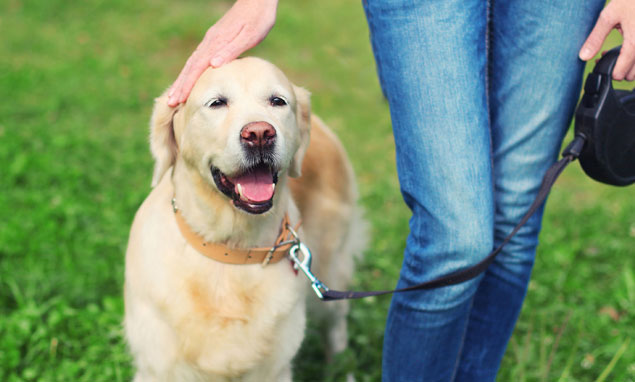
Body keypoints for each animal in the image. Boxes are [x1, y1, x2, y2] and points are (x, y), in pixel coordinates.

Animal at [124, 57, 366, 382]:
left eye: (277, 101)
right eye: (216, 103)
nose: (260, 134)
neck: (230, 250)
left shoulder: (275, 369)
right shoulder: (157, 366)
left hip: (332, 268)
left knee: (337, 330)